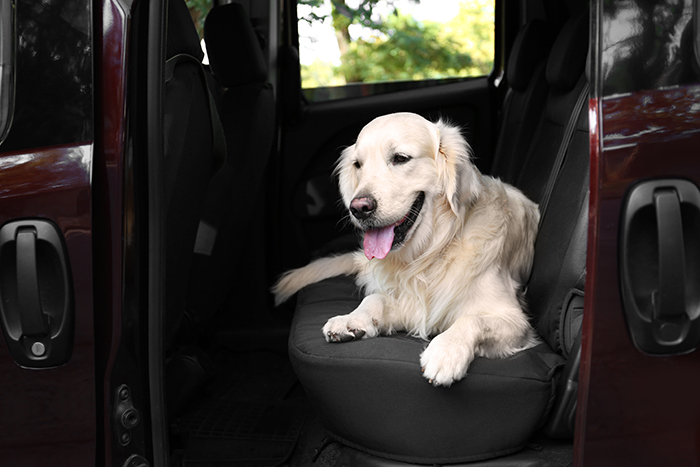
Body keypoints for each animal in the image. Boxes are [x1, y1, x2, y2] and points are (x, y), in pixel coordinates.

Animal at [274, 113, 540, 388]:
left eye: (400, 158)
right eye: (358, 164)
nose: (358, 208)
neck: (430, 253)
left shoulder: (516, 321)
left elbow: (473, 319)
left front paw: (446, 351)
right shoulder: (409, 303)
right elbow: (375, 299)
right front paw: (352, 319)